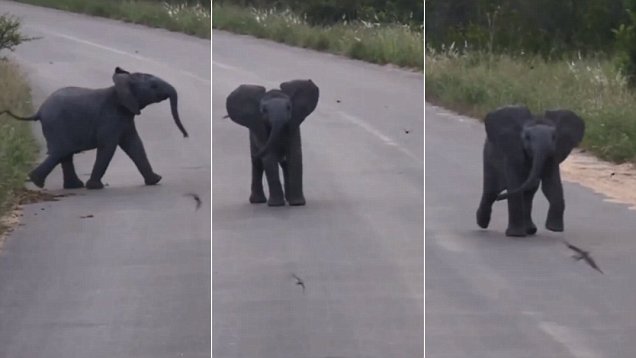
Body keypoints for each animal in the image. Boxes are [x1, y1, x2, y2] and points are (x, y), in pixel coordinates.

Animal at [0, 67, 188, 190]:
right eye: (153, 87)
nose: (186, 136)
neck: (120, 85)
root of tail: (39, 111)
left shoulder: (126, 116)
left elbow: (135, 145)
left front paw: (155, 180)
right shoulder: (110, 117)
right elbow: (109, 147)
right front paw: (95, 187)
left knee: (64, 154)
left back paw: (71, 186)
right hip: (56, 125)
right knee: (60, 152)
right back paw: (38, 182)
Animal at [476, 105, 588, 236]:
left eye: (554, 137)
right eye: (527, 137)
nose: (501, 198)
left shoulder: (552, 156)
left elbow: (552, 186)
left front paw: (554, 229)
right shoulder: (513, 153)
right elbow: (515, 185)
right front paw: (516, 235)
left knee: (528, 194)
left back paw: (530, 230)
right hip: (488, 159)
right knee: (491, 191)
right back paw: (482, 223)